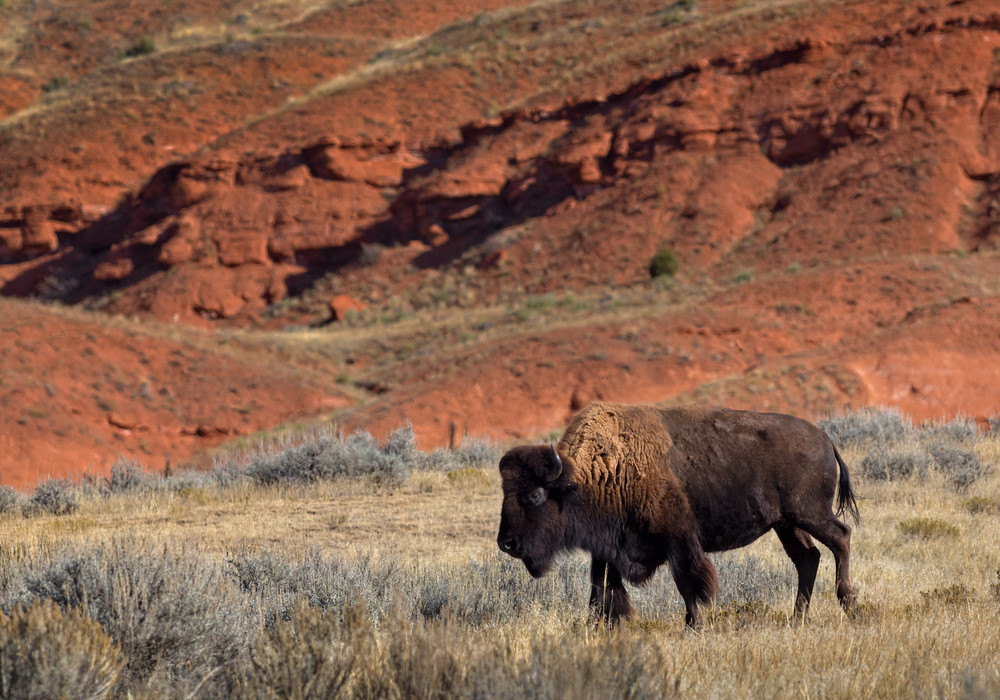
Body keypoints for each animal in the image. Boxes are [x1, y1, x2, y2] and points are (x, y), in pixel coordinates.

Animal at [496, 402, 859, 628]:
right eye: (505, 492)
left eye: (534, 494)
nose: (506, 543)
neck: (591, 475)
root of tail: (825, 439)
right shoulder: (607, 549)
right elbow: (601, 589)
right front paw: (597, 625)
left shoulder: (679, 541)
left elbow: (688, 583)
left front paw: (693, 626)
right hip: (786, 524)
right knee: (808, 557)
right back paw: (797, 618)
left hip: (809, 513)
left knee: (840, 538)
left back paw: (848, 602)